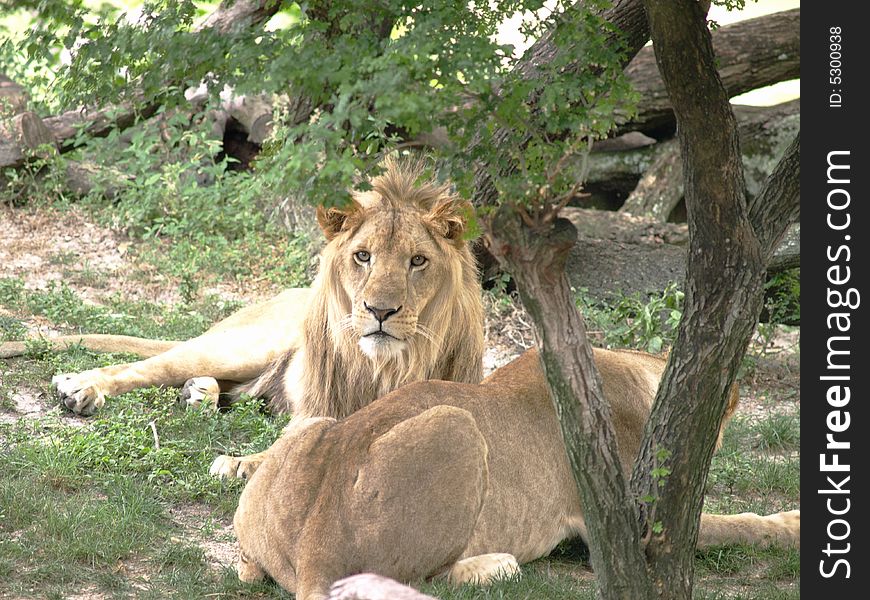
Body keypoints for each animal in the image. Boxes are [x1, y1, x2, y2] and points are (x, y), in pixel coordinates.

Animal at [0, 159, 484, 438]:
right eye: (363, 256)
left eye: (418, 261)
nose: (380, 311)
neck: (390, 366)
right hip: (241, 347)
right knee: (145, 367)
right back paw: (82, 387)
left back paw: (200, 394)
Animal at [233, 350, 804, 596]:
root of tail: (315, 550)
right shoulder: (628, 520)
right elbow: (739, 524)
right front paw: (793, 524)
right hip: (457, 423)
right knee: (417, 579)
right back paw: (498, 565)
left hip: (316, 425)